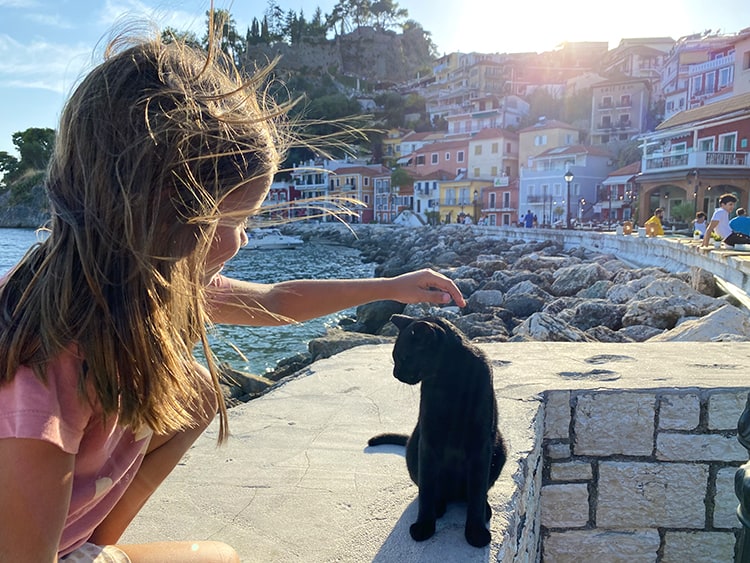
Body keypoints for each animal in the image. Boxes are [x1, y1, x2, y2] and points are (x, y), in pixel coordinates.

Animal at [368, 312, 508, 548]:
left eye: (403, 357)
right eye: (395, 357)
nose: (396, 373)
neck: (449, 382)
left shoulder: (481, 446)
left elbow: (477, 490)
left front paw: (476, 532)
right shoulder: (428, 440)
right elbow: (426, 489)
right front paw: (424, 525)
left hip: (500, 447)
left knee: (473, 494)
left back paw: (484, 509)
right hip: (414, 448)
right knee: (436, 491)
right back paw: (438, 506)